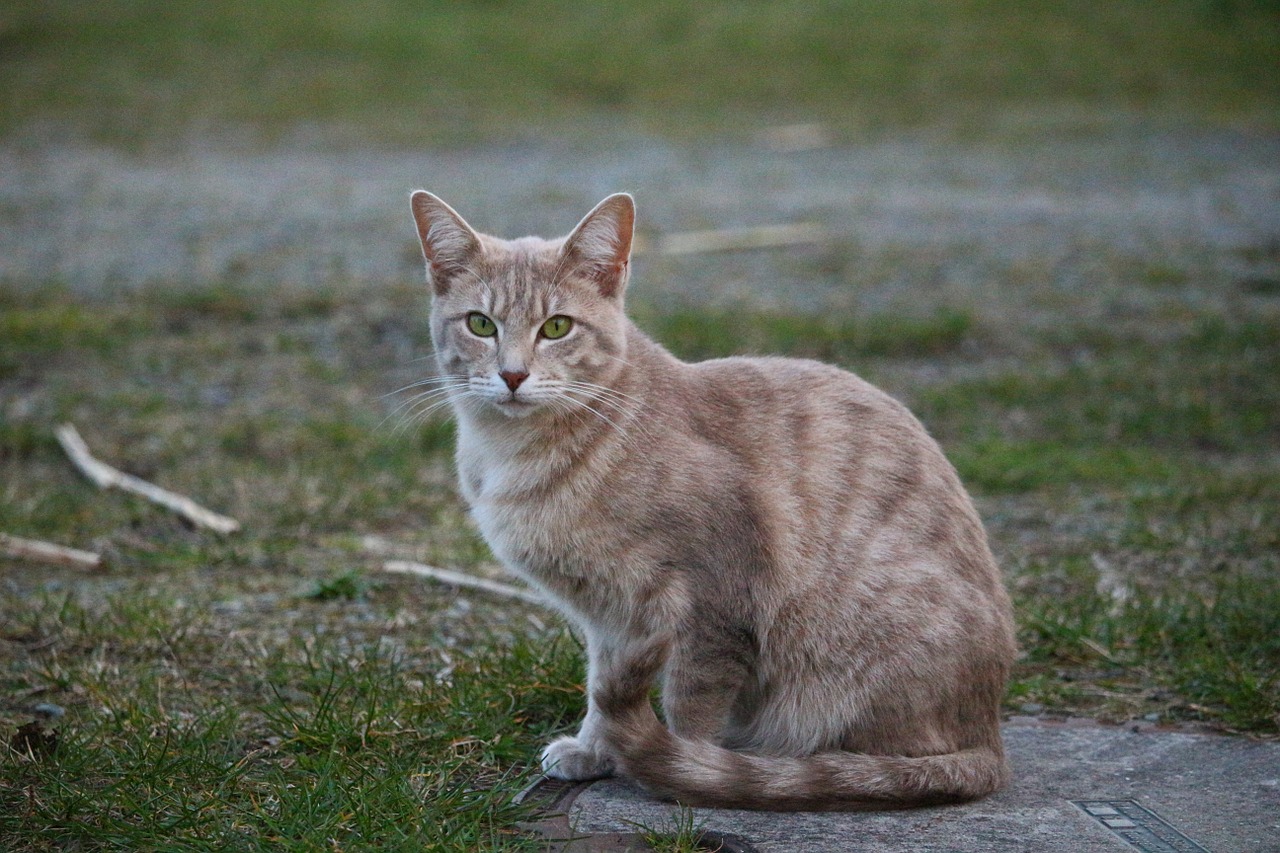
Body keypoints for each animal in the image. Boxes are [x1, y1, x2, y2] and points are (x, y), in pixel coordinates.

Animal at [404, 189, 1013, 809]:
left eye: (556, 327)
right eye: (481, 324)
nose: (512, 374)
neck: (518, 456)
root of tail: (988, 741)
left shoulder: (713, 604)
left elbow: (690, 709)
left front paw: (681, 771)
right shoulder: (610, 619)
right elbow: (602, 688)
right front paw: (597, 749)